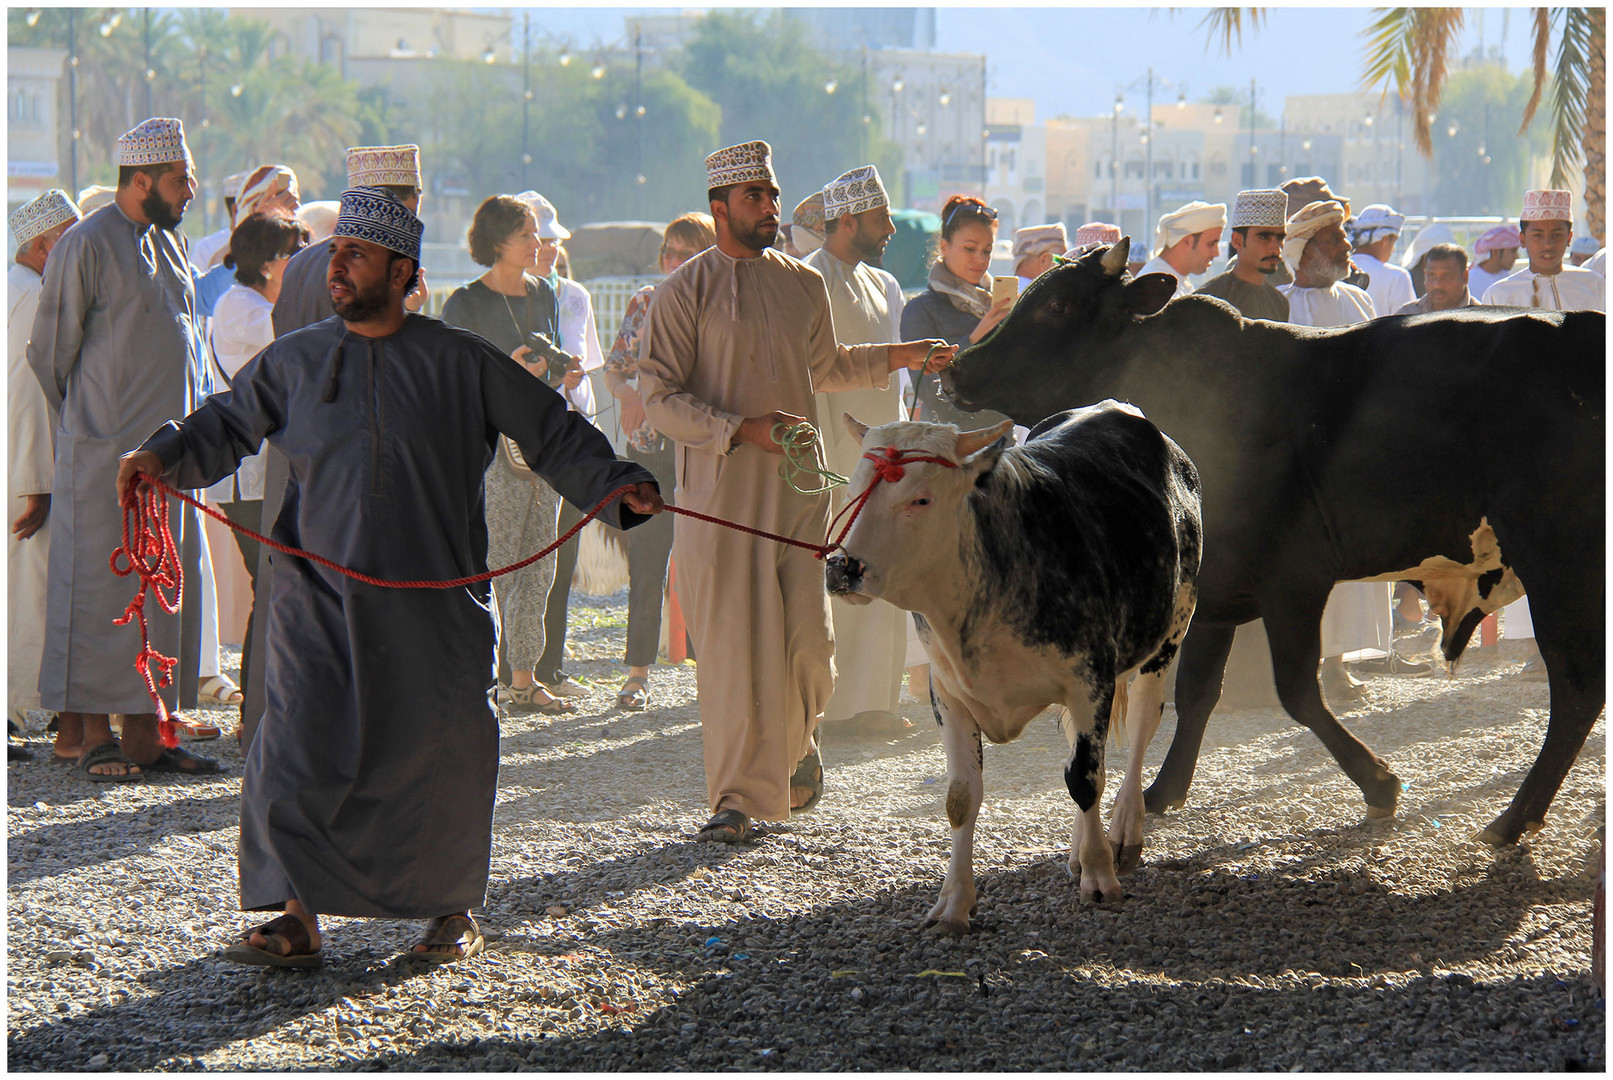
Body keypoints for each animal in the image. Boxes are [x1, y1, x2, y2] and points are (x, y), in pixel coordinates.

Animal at [832, 401, 1200, 934]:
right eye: (852, 489)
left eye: (921, 499)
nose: (842, 567)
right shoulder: (948, 692)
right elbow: (962, 796)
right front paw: (954, 902)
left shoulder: (1090, 680)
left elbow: (1085, 779)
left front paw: (1100, 877)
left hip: (1170, 632)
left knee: (1140, 725)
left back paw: (1124, 831)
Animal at [941, 241, 1606, 851]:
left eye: (1056, 304)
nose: (955, 368)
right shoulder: (1213, 592)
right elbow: (1198, 693)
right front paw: (1164, 790)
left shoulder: (1294, 581)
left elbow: (1296, 690)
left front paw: (1380, 784)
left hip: (1557, 562)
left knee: (1577, 687)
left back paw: (1514, 818)